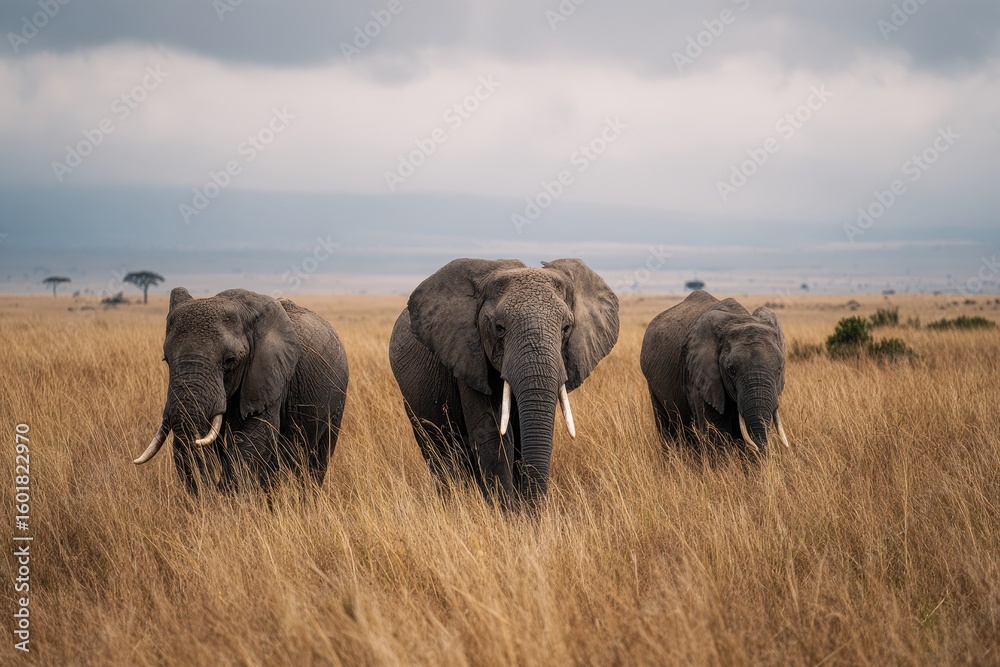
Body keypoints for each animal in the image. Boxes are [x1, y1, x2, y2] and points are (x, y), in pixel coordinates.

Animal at [131, 288, 349, 494]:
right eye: (165, 359)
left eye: (230, 360)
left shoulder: (270, 379)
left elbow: (255, 436)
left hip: (337, 399)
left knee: (318, 459)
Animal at [389, 258, 619, 508]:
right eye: (499, 328)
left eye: (566, 329)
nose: (535, 511)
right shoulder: (468, 357)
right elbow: (493, 434)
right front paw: (509, 513)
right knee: (438, 451)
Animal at [640, 290, 789, 455]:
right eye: (731, 370)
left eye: (779, 369)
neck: (740, 319)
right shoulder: (699, 378)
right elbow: (715, 435)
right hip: (653, 386)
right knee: (668, 429)